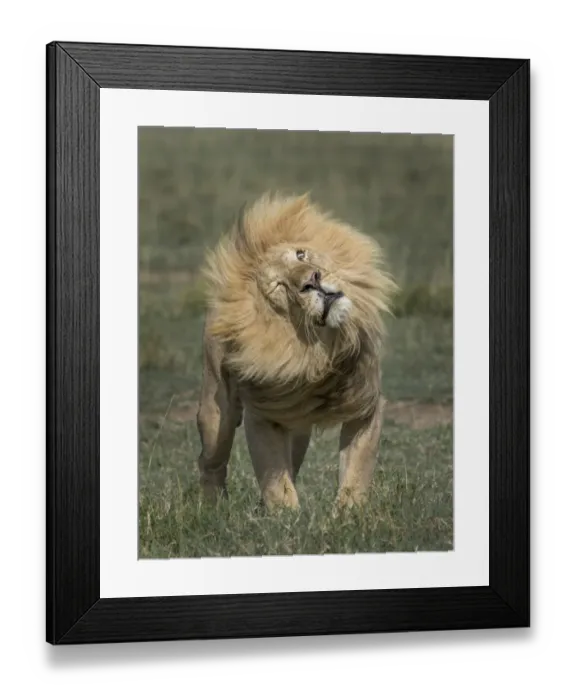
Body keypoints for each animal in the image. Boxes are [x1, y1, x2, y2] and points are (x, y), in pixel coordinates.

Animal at [195, 192, 398, 512]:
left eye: (301, 255)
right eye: (280, 286)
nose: (313, 280)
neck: (319, 354)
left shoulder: (367, 407)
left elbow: (356, 472)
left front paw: (347, 515)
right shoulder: (262, 417)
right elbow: (276, 483)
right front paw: (287, 518)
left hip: (298, 429)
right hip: (217, 414)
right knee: (211, 459)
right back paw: (212, 506)